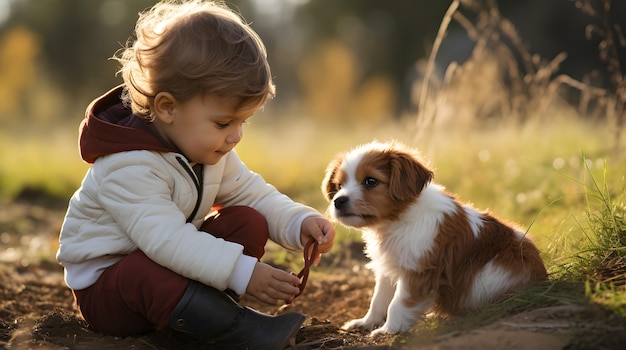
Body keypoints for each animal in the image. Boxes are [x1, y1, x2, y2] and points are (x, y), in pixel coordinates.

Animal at [322, 141, 544, 334]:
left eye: (371, 181)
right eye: (339, 185)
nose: (338, 201)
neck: (396, 221)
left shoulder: (419, 272)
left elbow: (397, 304)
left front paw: (388, 331)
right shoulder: (388, 268)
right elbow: (378, 299)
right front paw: (366, 323)